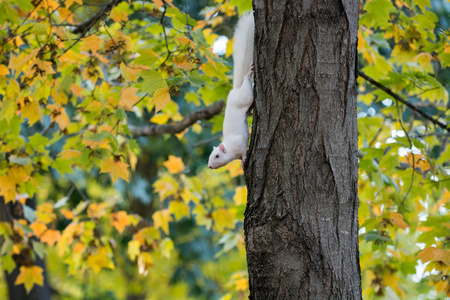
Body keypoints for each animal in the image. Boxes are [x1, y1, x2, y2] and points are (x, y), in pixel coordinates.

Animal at [208, 12, 255, 170]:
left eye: (217, 156)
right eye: (210, 156)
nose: (210, 166)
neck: (229, 149)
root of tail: (235, 90)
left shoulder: (239, 142)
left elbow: (243, 149)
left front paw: (244, 159)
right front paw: (241, 163)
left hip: (245, 96)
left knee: (247, 84)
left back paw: (249, 74)